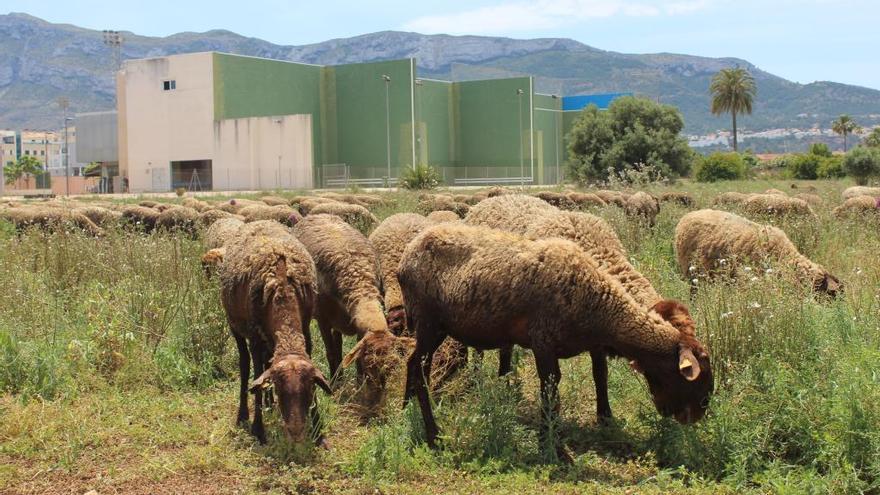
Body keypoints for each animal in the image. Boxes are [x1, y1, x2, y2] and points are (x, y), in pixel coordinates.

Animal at [219, 223, 330, 444]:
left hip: (268, 339)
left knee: (267, 361)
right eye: (281, 389)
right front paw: (258, 428)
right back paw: (243, 414)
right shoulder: (254, 338)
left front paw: (318, 431)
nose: (296, 432)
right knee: (246, 365)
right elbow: (256, 375)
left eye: (308, 389)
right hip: (235, 326)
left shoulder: (306, 333)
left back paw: (268, 404)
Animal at [290, 215, 410, 416]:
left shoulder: (360, 329)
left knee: (338, 342)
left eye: (390, 368)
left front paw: (359, 386)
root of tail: (318, 214)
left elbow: (354, 360)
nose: (375, 405)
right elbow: (331, 353)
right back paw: (337, 377)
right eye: (370, 365)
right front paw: (334, 385)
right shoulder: (323, 320)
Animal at [400, 225, 716, 454]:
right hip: (429, 322)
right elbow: (551, 395)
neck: (597, 303)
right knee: (418, 368)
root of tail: (406, 255)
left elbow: (595, 378)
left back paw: (405, 412)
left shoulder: (585, 347)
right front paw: (552, 446)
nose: (695, 418)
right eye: (699, 385)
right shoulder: (543, 343)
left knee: (414, 366)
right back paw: (433, 434)